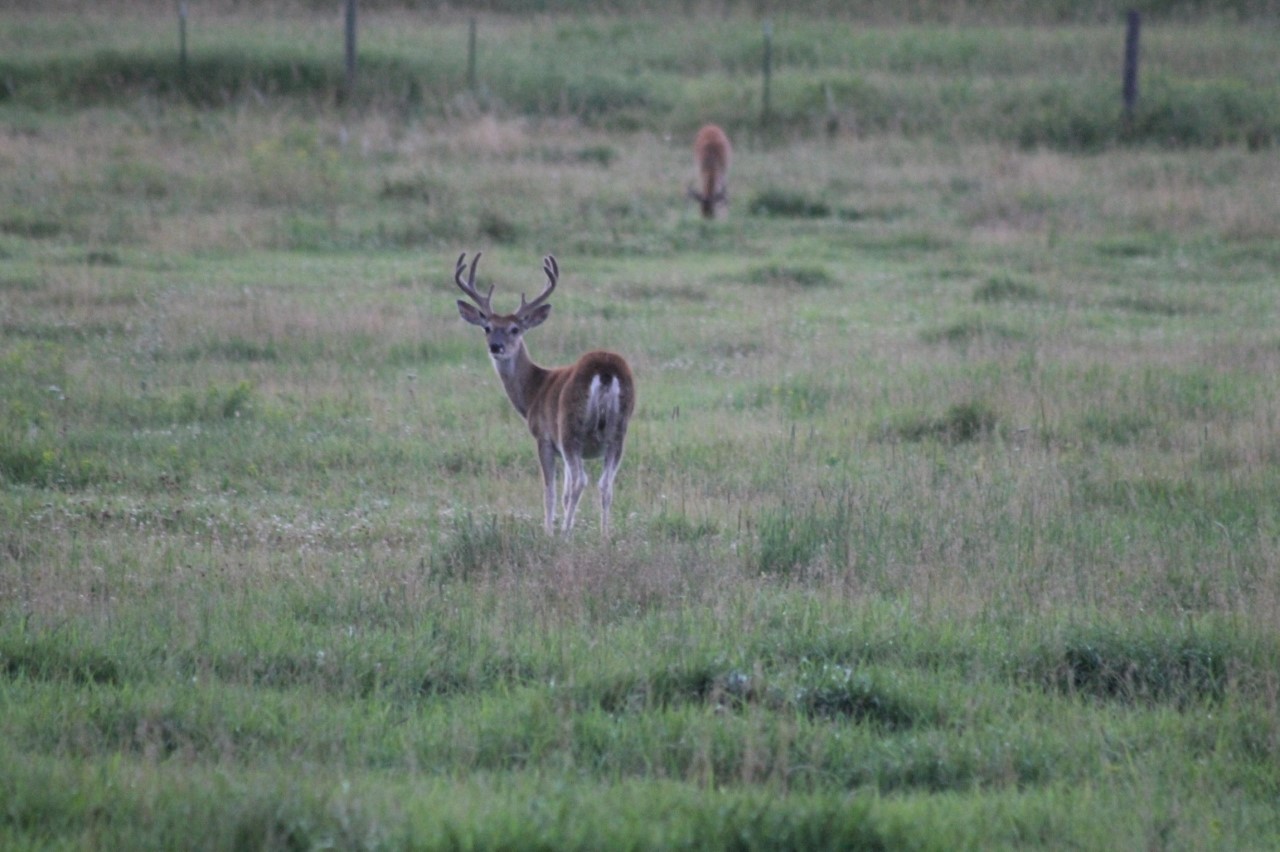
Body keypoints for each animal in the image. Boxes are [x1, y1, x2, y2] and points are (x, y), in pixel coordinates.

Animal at [454, 252, 636, 537]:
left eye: (515, 329)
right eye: (487, 327)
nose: (496, 346)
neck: (534, 391)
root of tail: (606, 370)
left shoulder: (544, 438)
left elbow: (549, 491)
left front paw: (548, 531)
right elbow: (563, 492)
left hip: (571, 428)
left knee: (582, 481)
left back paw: (565, 535)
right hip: (618, 433)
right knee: (605, 484)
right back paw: (605, 535)